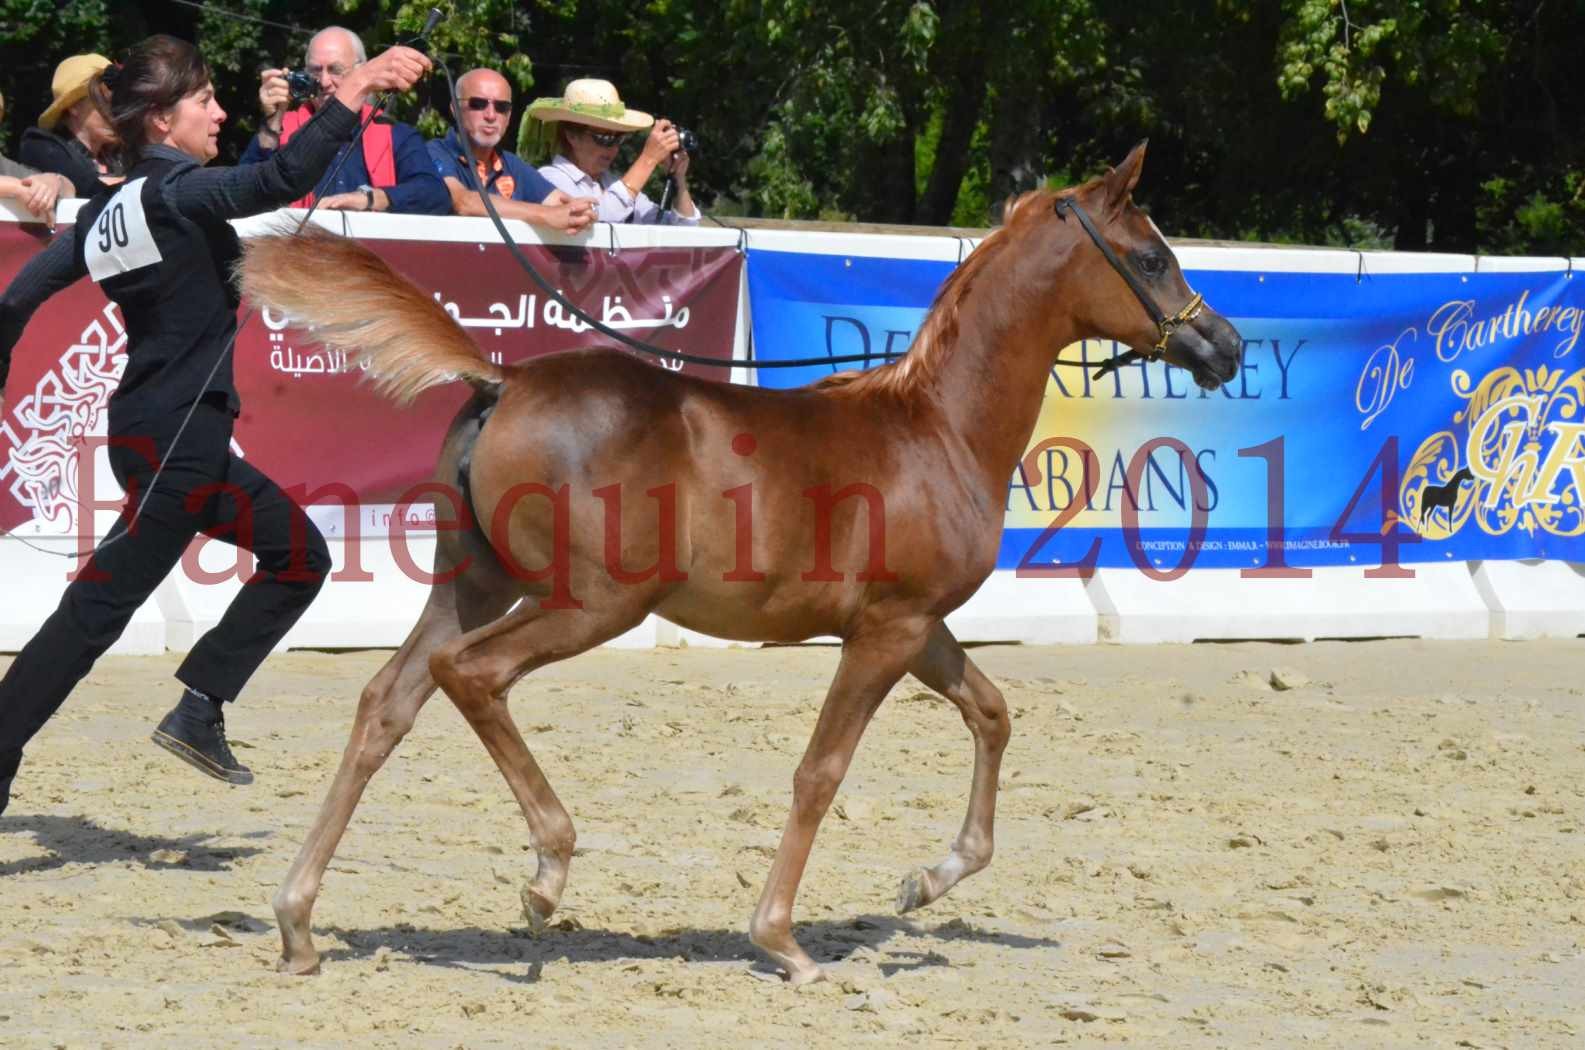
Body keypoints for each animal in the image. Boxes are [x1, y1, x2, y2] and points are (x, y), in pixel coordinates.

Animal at [240, 144, 1242, 983]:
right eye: (1150, 258)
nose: (1223, 347)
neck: (936, 426)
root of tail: (504, 379)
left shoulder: (916, 625)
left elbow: (991, 715)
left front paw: (928, 879)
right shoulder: (885, 632)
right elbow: (821, 771)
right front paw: (783, 941)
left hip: (474, 586)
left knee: (387, 704)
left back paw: (297, 922)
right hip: (590, 604)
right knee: (470, 675)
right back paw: (547, 872)